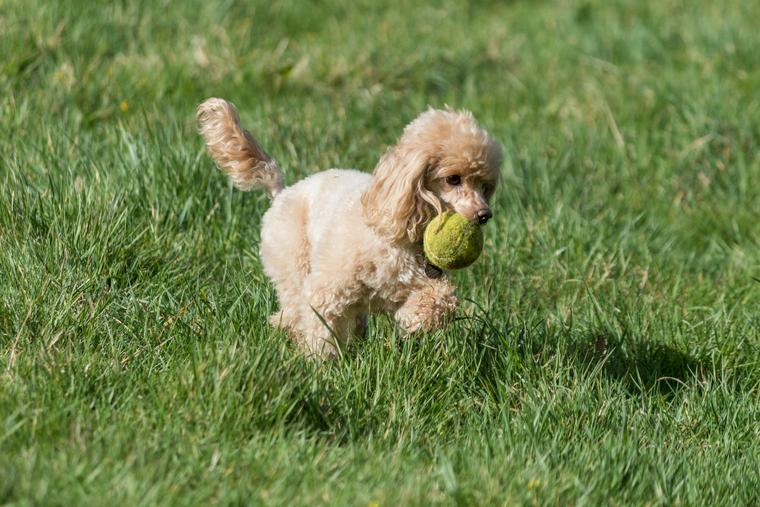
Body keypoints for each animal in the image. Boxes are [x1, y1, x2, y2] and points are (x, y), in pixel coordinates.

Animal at [199, 99, 502, 360]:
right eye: (453, 179)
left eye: (485, 185)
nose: (484, 215)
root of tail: (282, 192)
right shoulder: (327, 290)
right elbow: (320, 327)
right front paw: (320, 365)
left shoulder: (421, 281)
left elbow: (442, 298)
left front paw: (413, 319)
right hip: (292, 265)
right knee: (294, 309)